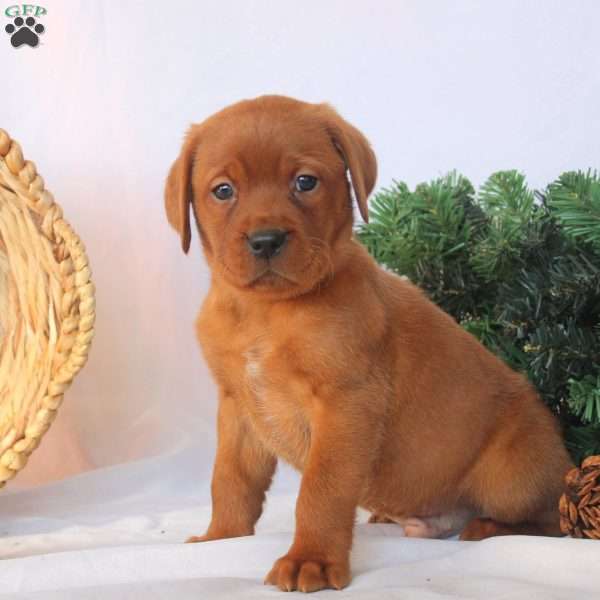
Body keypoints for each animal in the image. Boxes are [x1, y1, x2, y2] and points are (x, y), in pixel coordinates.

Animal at [163, 96, 572, 592]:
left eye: (305, 182)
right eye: (223, 190)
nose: (266, 240)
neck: (264, 313)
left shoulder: (346, 402)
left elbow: (321, 489)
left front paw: (311, 559)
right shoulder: (238, 406)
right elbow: (230, 479)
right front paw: (221, 537)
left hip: (511, 475)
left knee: (552, 518)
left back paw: (488, 527)